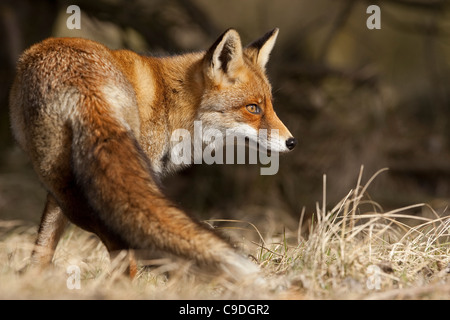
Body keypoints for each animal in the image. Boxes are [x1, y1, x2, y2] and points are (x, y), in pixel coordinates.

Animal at [9, 28, 296, 282]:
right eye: (253, 108)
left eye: (270, 106)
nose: (292, 142)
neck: (170, 103)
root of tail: (84, 85)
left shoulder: (58, 193)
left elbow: (43, 246)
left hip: (61, 182)